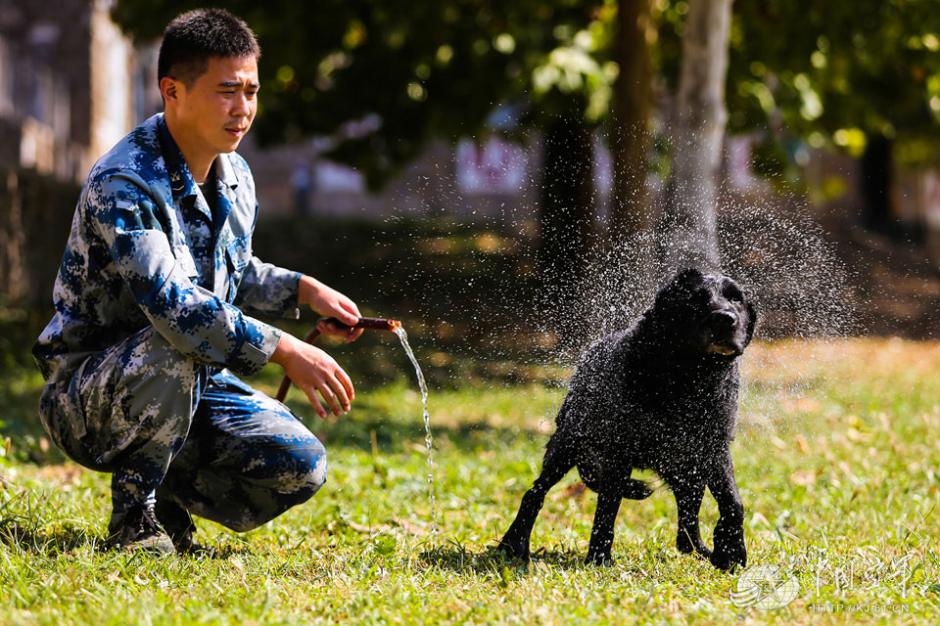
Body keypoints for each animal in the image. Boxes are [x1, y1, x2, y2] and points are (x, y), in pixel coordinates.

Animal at [500, 266, 756, 568]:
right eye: (697, 298)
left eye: (736, 298)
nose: (725, 318)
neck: (688, 378)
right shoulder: (619, 451)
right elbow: (607, 508)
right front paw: (599, 557)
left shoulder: (712, 448)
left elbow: (732, 500)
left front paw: (731, 550)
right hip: (567, 443)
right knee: (535, 493)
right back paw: (513, 543)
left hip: (685, 469)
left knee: (688, 515)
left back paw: (697, 548)